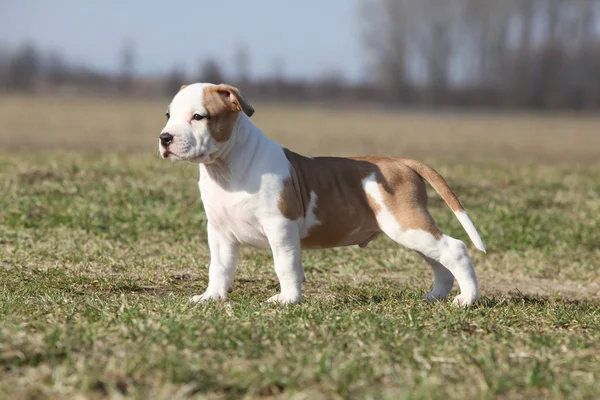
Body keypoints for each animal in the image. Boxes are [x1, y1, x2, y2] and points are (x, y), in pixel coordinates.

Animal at [161, 82, 488, 306]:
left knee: (456, 249)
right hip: (410, 228)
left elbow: (285, 265)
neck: (227, 168)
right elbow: (219, 267)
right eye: (168, 114)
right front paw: (211, 297)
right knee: (439, 260)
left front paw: (287, 301)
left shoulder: (280, 226)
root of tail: (402, 162)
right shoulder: (219, 232)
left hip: (407, 223)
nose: (165, 138)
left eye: (199, 116)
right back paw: (436, 295)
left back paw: (467, 299)